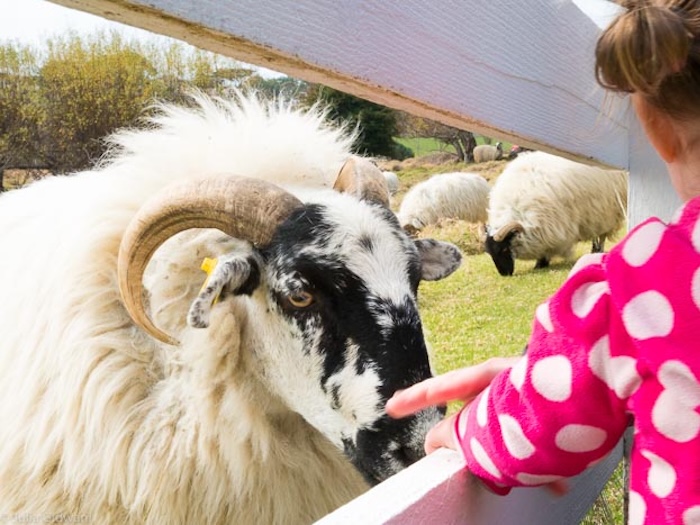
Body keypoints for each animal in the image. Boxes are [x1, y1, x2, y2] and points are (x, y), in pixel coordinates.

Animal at [484, 150, 628, 276]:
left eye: (504, 249)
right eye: (490, 253)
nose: (504, 274)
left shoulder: (550, 226)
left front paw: (541, 262)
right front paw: (540, 263)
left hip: (607, 211)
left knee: (602, 234)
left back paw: (598, 250)